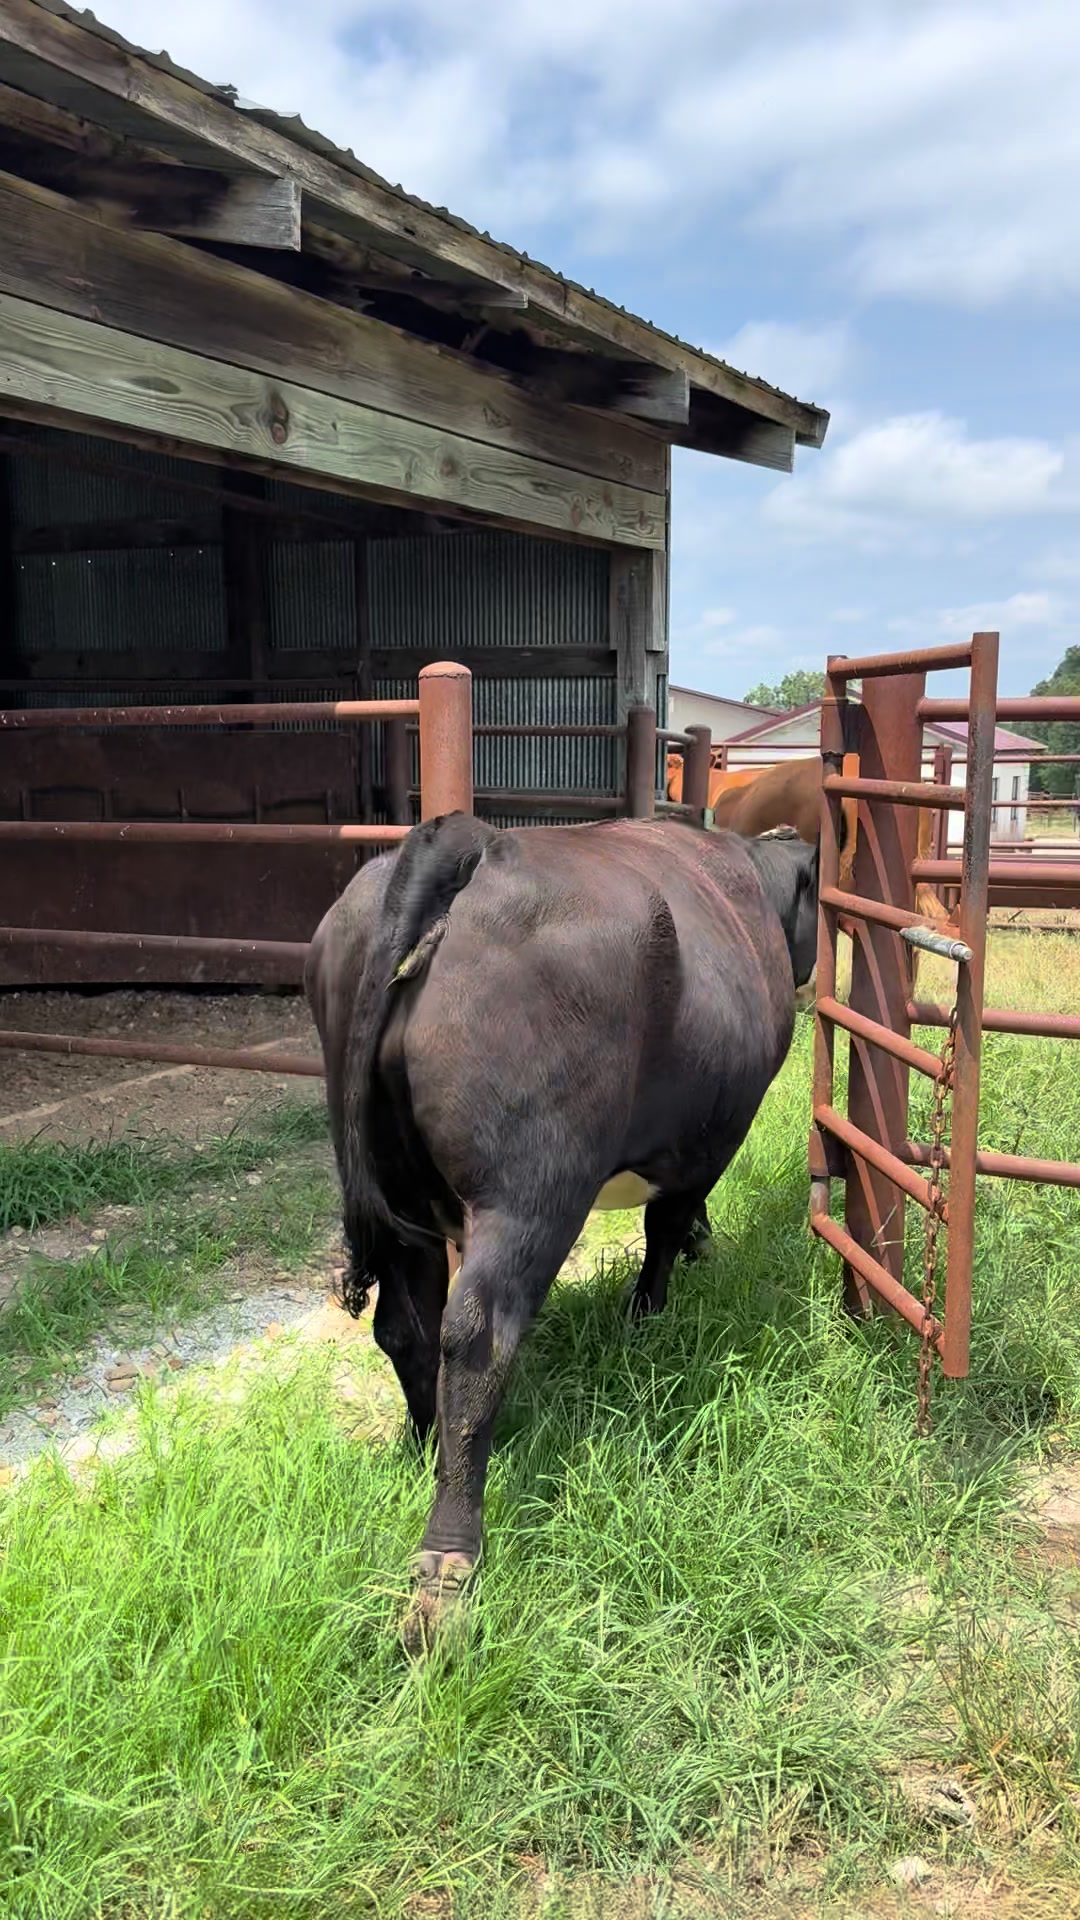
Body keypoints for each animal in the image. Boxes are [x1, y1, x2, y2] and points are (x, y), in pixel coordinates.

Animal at [304, 812, 818, 1653]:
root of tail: (470, 839)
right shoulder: (713, 1132)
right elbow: (667, 1222)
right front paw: (653, 1310)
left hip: (402, 1196)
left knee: (406, 1327)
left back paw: (425, 1447)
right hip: (530, 1186)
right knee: (477, 1337)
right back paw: (446, 1574)